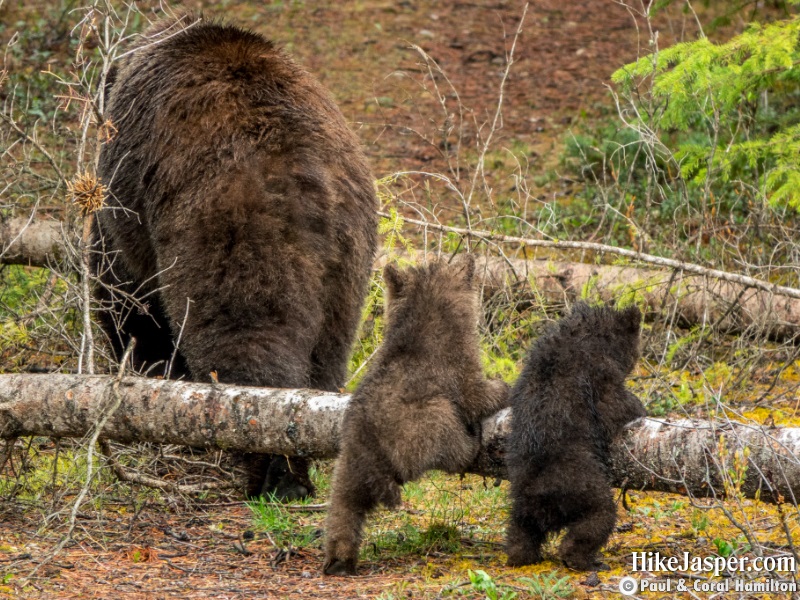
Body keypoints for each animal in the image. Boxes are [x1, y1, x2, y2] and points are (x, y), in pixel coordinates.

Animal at [92, 15, 380, 502]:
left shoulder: (125, 218)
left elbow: (126, 299)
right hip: (348, 261)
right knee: (325, 358)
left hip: (226, 240)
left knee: (245, 348)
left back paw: (272, 470)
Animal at [322, 256, 510, 576]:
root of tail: (374, 466)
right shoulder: (455, 365)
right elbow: (476, 393)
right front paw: (505, 387)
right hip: (423, 425)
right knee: (448, 436)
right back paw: (469, 445)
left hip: (347, 462)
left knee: (343, 508)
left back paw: (339, 558)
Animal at [506, 302, 644, 568]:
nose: (636, 359)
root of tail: (543, 497)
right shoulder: (598, 371)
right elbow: (613, 406)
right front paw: (639, 407)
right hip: (585, 489)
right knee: (598, 518)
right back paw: (582, 558)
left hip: (520, 503)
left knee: (520, 530)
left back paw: (520, 555)